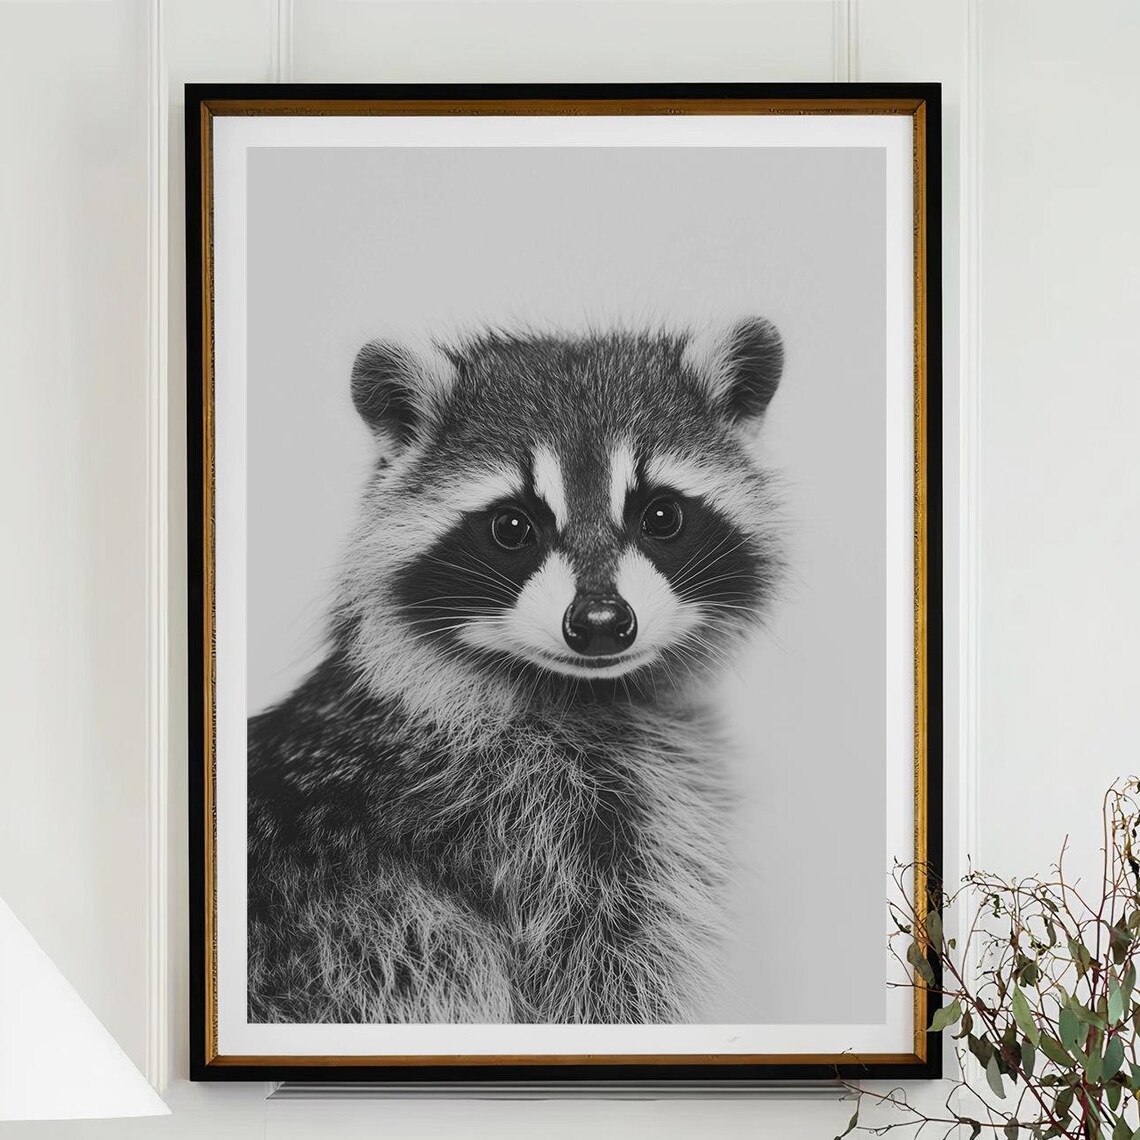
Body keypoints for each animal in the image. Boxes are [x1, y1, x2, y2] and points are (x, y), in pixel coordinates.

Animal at [247, 320, 785, 1025]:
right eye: (511, 527)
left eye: (662, 516)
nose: (602, 622)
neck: (586, 692)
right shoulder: (541, 838)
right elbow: (600, 992)